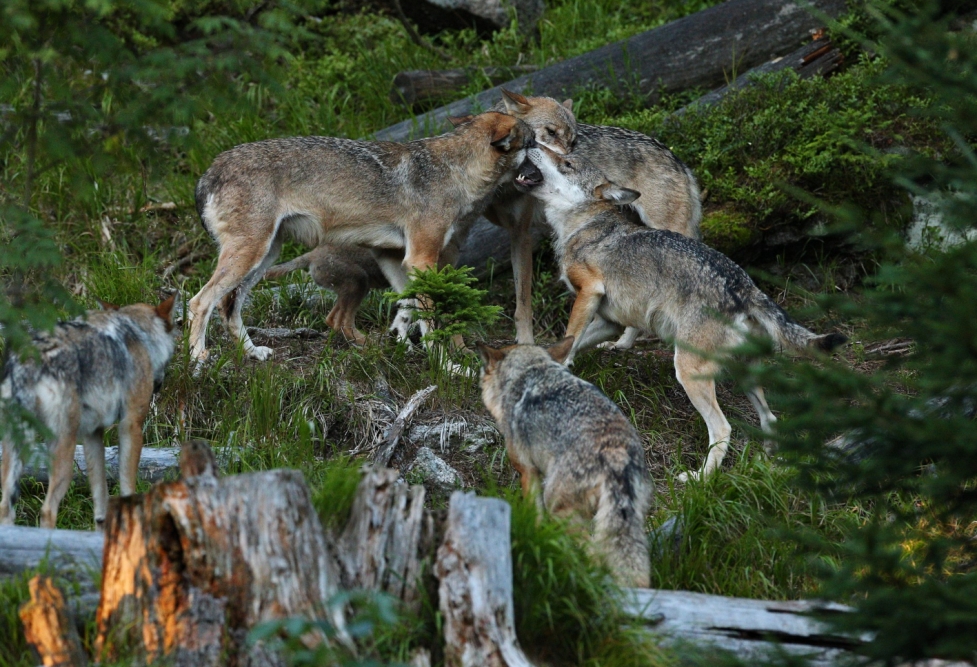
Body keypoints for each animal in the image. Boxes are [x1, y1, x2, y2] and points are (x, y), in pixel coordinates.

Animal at [1, 294, 176, 528]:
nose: (158, 385)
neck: (137, 332)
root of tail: (28, 362)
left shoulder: (92, 433)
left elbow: (100, 496)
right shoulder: (131, 424)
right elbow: (127, 484)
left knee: (6, 508)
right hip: (63, 451)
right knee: (47, 510)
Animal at [183, 112, 532, 362]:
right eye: (534, 143)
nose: (543, 171)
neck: (455, 170)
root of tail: (208, 172)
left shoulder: (393, 257)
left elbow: (410, 309)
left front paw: (405, 346)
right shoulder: (421, 258)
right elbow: (432, 319)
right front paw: (449, 366)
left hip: (265, 257)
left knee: (229, 306)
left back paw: (252, 352)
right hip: (250, 256)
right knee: (199, 301)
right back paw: (197, 358)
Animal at [476, 336, 652, 588]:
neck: (530, 370)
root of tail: (616, 454)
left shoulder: (528, 471)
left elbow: (534, 515)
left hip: (559, 507)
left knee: (593, 553)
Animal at [510, 147, 848, 480]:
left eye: (566, 162)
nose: (531, 144)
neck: (582, 226)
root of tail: (745, 287)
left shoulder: (589, 292)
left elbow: (569, 337)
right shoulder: (609, 321)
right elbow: (573, 342)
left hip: (687, 371)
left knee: (723, 429)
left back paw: (699, 479)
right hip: (744, 376)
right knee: (771, 418)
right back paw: (767, 462)